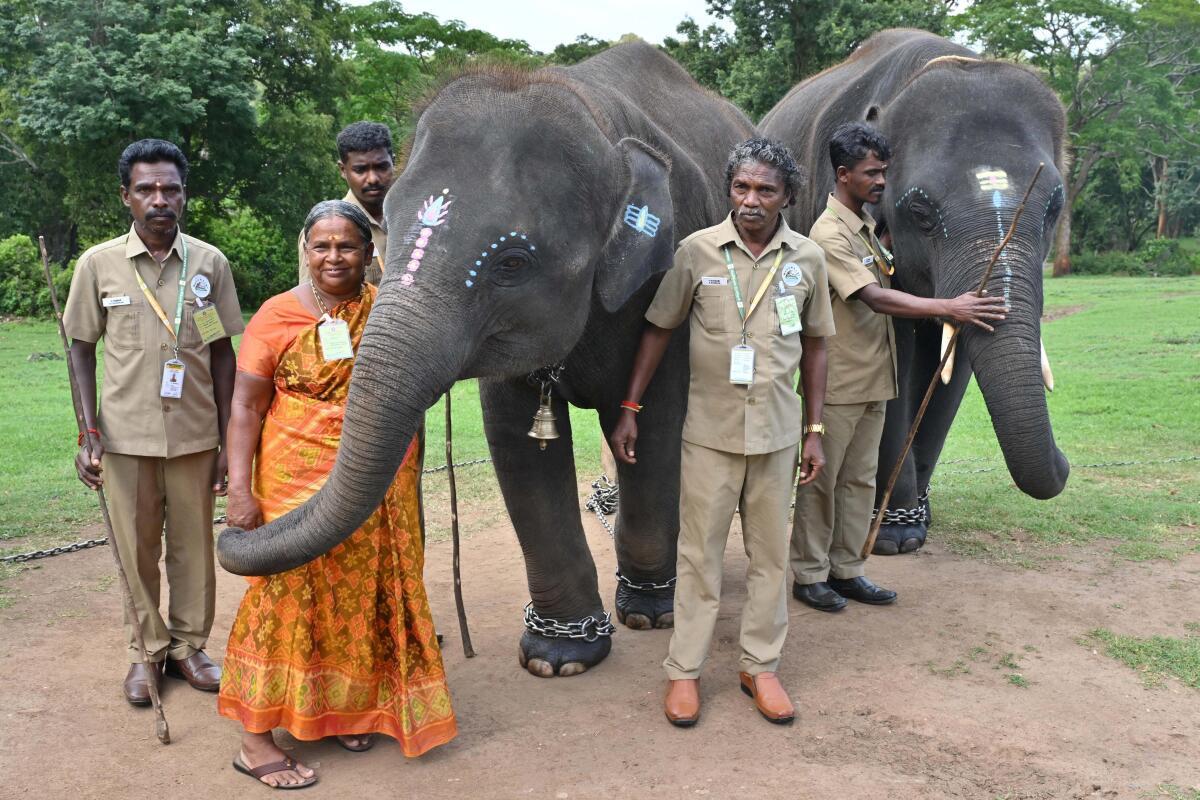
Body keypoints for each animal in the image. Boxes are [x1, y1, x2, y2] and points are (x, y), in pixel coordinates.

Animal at [220, 43, 753, 681]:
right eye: (385, 229)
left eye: (513, 262)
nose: (236, 526)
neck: (595, 120)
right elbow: (517, 442)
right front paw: (558, 657)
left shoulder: (669, 272)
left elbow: (655, 423)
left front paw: (650, 614)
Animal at [758, 29, 1070, 551]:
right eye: (921, 213)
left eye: (1054, 208)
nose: (1065, 462)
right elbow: (894, 355)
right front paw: (895, 535)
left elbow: (954, 365)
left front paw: (917, 516)